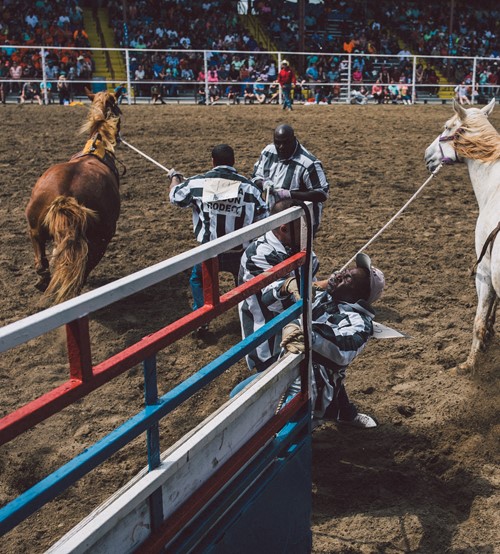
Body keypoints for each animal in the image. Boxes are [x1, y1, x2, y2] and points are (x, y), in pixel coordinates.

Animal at [25, 88, 123, 302]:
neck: (96, 149)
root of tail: (65, 195)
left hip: (35, 230)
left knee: (42, 263)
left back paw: (43, 282)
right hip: (100, 241)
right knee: (82, 270)